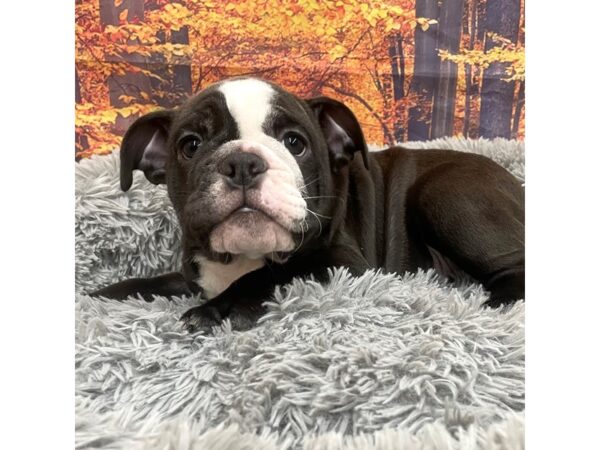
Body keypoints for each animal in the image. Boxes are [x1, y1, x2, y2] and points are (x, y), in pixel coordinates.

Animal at [90, 77, 524, 332]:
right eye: (191, 145)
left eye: (295, 143)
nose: (243, 163)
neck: (243, 257)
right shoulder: (195, 274)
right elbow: (151, 284)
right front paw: (100, 297)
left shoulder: (343, 261)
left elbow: (275, 274)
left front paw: (221, 310)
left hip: (444, 194)